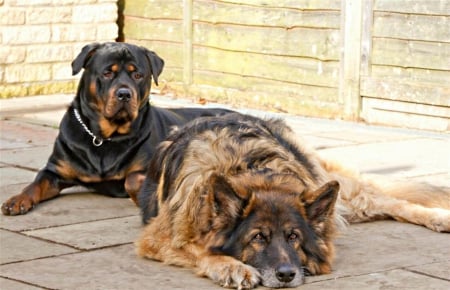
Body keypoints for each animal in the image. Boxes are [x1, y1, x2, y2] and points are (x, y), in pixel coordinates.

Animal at [1, 41, 230, 215]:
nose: (124, 94)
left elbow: (132, 180)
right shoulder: (55, 170)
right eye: (107, 73)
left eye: (137, 75)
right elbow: (36, 183)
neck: (105, 137)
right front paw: (17, 200)